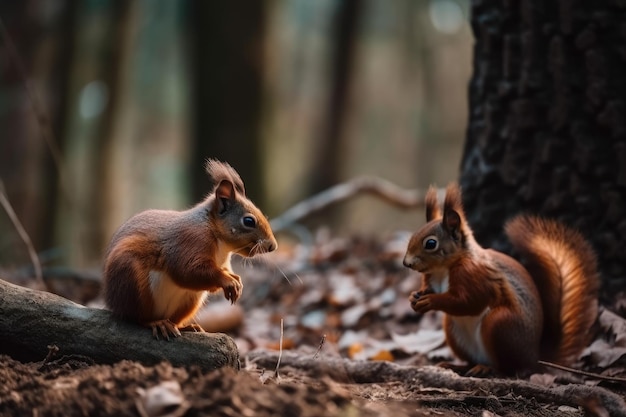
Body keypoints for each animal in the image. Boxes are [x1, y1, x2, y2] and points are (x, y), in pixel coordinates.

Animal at [102, 158, 276, 338]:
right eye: (249, 221)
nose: (273, 246)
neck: (221, 243)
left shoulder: (222, 261)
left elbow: (221, 271)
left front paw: (235, 279)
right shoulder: (190, 241)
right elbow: (189, 271)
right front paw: (228, 281)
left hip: (191, 300)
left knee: (175, 320)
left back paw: (185, 327)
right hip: (132, 283)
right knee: (137, 317)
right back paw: (156, 323)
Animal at [402, 184, 596, 376]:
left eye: (430, 244)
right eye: (412, 237)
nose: (406, 263)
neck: (443, 269)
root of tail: (535, 358)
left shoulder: (474, 275)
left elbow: (469, 302)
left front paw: (431, 301)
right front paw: (414, 297)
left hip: (500, 324)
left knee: (509, 368)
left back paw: (487, 368)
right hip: (453, 330)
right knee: (472, 360)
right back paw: (457, 366)